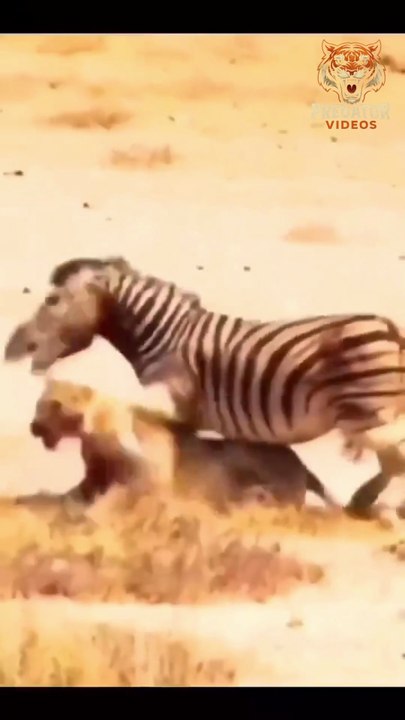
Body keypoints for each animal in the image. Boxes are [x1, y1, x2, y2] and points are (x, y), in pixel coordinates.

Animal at [29, 379, 340, 513]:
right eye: (39, 404)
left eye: (54, 404)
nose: (33, 427)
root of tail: (301, 465)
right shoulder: (96, 475)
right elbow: (72, 494)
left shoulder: (150, 478)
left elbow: (118, 494)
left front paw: (94, 510)